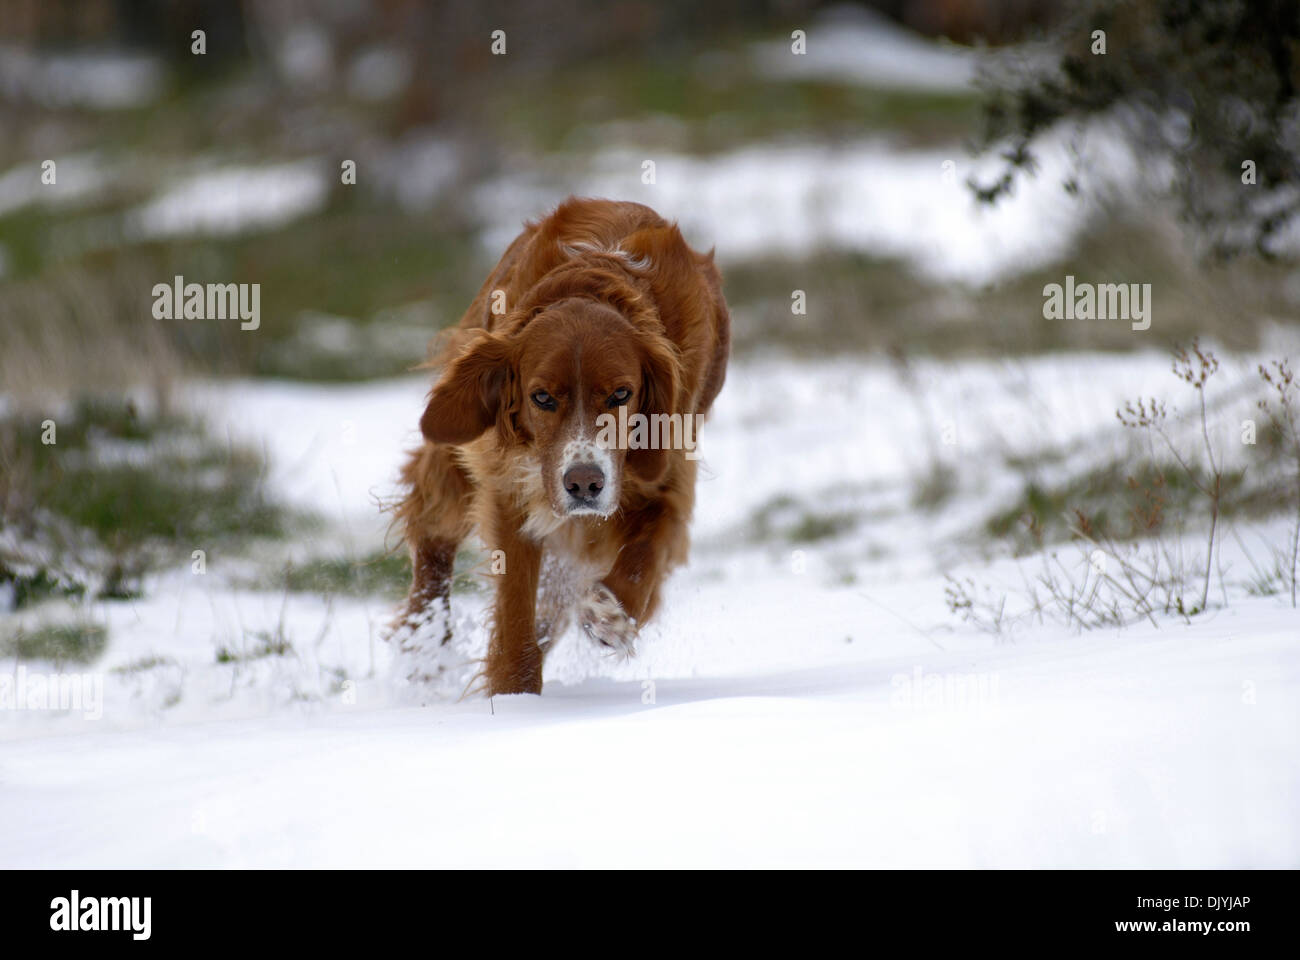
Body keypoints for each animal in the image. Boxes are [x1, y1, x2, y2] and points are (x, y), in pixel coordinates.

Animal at [392, 195, 733, 692]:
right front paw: (515, 694)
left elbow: (647, 552)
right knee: (431, 530)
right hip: (459, 442)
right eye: (542, 398)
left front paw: (614, 614)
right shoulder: (510, 485)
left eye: (621, 394)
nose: (584, 485)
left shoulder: (668, 473)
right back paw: (424, 647)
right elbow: (515, 607)